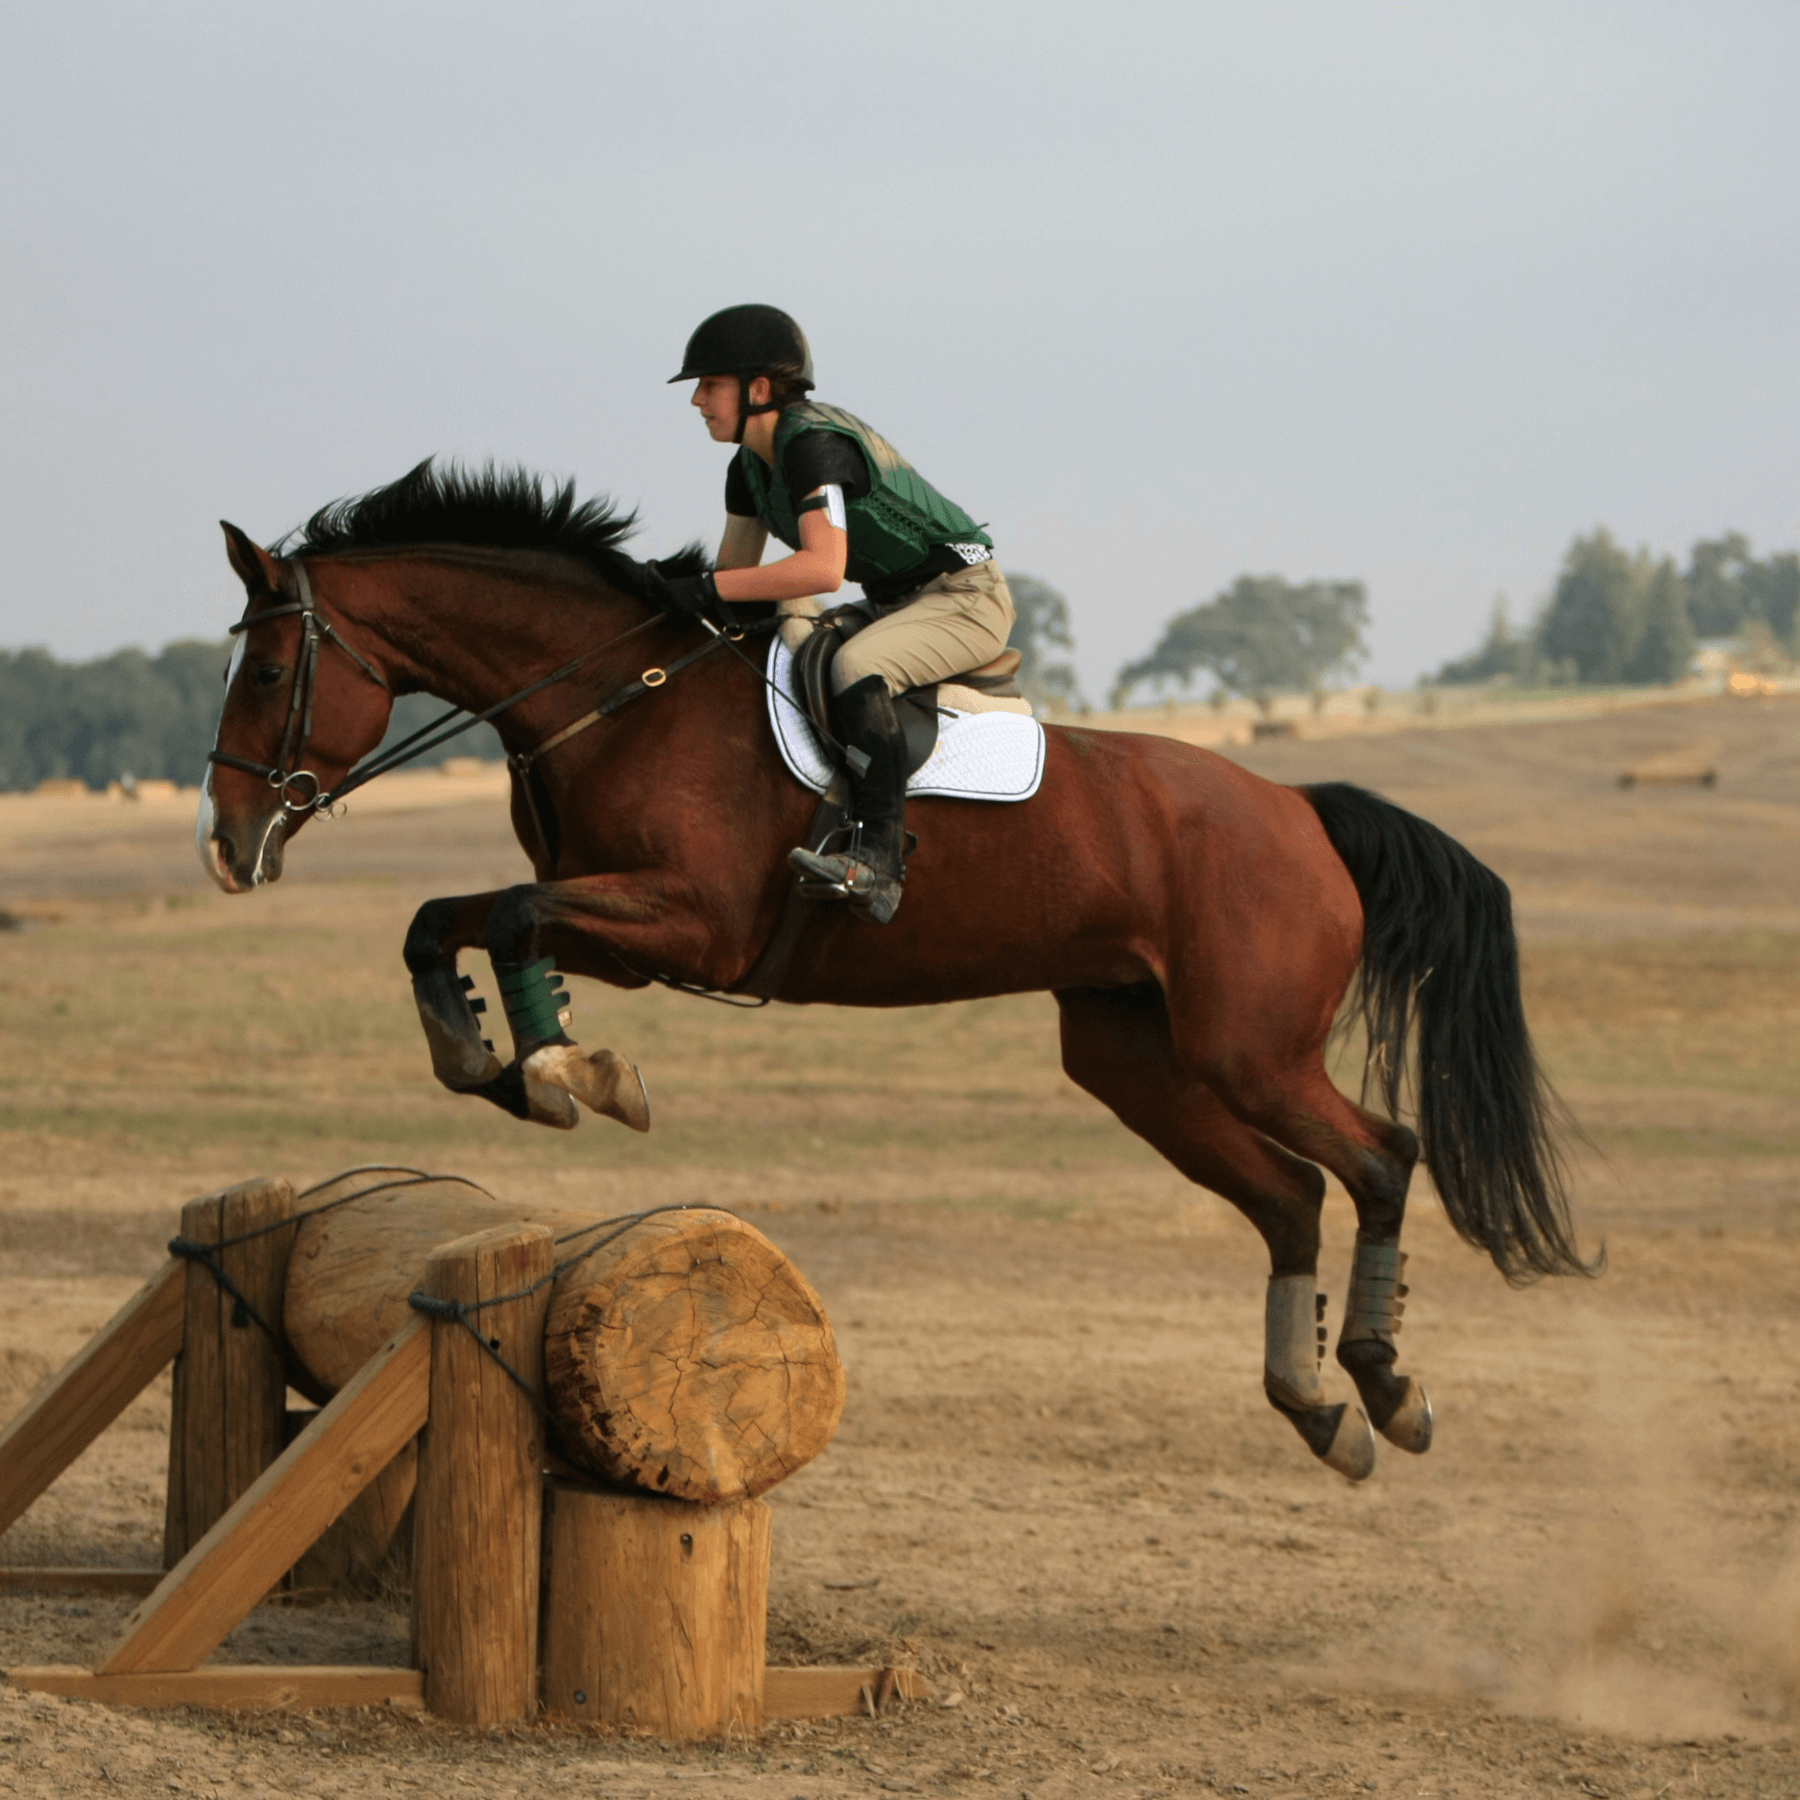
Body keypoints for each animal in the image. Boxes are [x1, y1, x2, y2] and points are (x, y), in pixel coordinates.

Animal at [204, 457, 1598, 1483]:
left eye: (268, 670)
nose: (224, 845)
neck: (617, 691)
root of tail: (1300, 808)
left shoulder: (688, 922)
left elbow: (489, 917)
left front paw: (540, 1066)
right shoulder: (617, 917)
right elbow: (464, 922)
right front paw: (523, 1063)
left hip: (1246, 1048)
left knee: (1380, 1159)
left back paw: (1387, 1385)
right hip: (1133, 1056)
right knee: (1291, 1197)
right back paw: (1320, 1409)